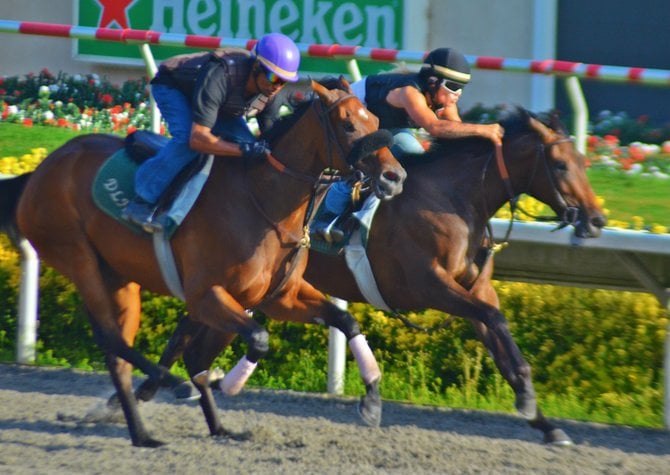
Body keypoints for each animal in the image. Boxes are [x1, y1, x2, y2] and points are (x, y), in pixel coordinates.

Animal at [1, 80, 410, 448]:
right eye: (347, 124)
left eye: (375, 120)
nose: (395, 177)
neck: (263, 200)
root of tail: (41, 170)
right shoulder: (206, 295)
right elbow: (256, 340)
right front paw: (226, 382)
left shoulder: (279, 297)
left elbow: (345, 320)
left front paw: (372, 399)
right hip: (77, 254)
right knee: (110, 337)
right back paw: (171, 393)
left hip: (119, 275)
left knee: (120, 352)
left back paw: (162, 431)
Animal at [133, 107, 608, 446]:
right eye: (561, 166)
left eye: (585, 162)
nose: (597, 219)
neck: (455, 199)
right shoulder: (431, 286)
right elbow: (497, 321)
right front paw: (528, 403)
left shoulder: (474, 290)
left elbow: (505, 345)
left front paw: (545, 421)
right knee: (190, 334)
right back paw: (156, 390)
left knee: (191, 330)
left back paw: (162, 387)